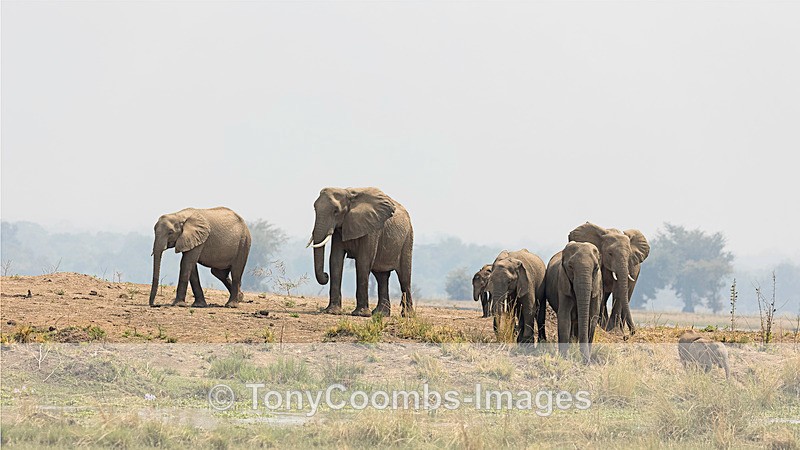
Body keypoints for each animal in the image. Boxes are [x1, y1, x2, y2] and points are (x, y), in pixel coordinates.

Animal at [308, 187, 414, 317]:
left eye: (336, 211)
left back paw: (407, 315)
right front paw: (332, 311)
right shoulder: (340, 227)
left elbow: (363, 261)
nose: (325, 275)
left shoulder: (372, 228)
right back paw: (381, 314)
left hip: (407, 238)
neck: (348, 194)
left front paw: (361, 314)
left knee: (404, 277)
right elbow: (335, 260)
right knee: (381, 277)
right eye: (314, 208)